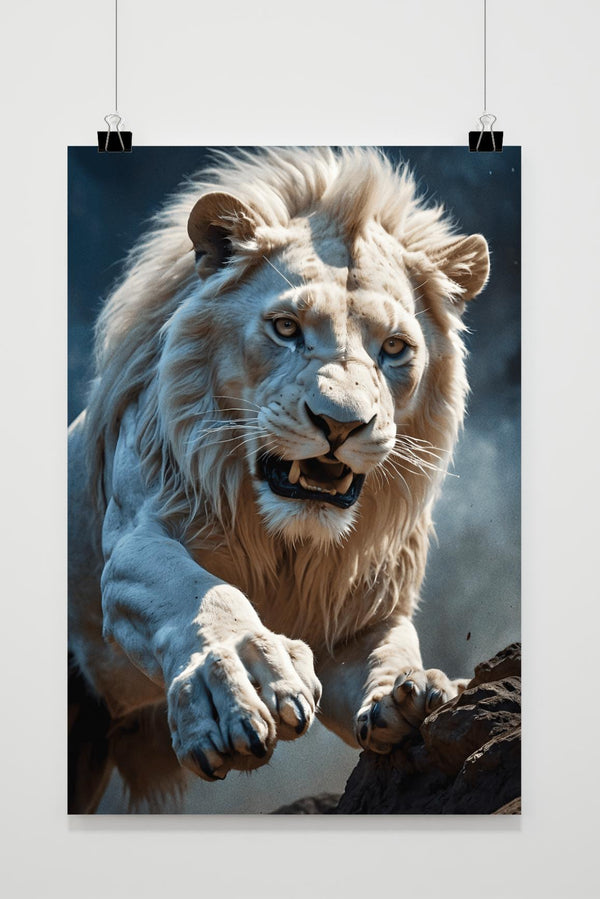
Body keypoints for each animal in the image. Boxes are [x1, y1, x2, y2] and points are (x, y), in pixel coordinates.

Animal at [68, 147, 489, 813]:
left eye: (396, 347)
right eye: (287, 329)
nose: (341, 423)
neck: (289, 542)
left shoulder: (359, 618)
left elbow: (391, 647)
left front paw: (416, 691)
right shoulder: (140, 541)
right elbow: (201, 594)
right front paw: (240, 675)